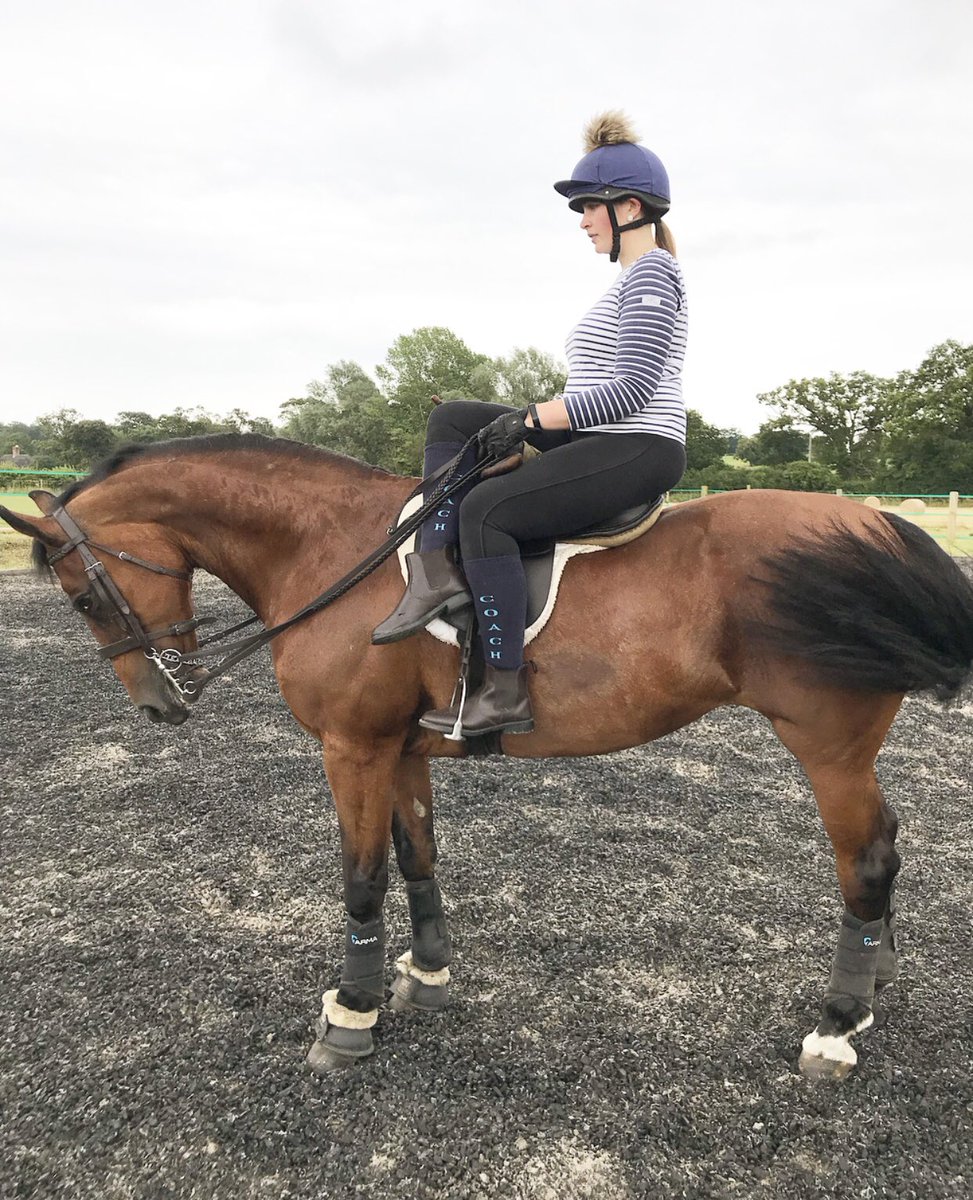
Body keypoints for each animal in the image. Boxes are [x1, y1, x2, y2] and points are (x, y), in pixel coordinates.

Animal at [3, 433, 972, 1081]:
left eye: (83, 594)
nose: (160, 703)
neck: (329, 550)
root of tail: (876, 528)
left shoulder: (351, 748)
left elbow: (361, 877)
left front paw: (349, 1015)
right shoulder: (398, 747)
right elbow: (415, 855)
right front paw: (425, 974)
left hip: (825, 742)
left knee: (865, 857)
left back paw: (836, 1025)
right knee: (886, 844)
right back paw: (873, 982)